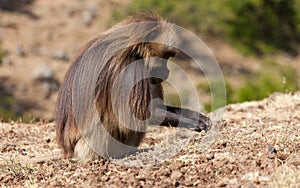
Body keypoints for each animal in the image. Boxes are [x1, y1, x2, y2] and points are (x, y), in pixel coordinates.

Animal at [55, 12, 211, 161]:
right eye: (165, 56)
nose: (167, 71)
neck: (135, 49)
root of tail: (69, 152)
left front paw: (199, 117)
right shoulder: (130, 67)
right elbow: (142, 113)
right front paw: (196, 124)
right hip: (89, 147)